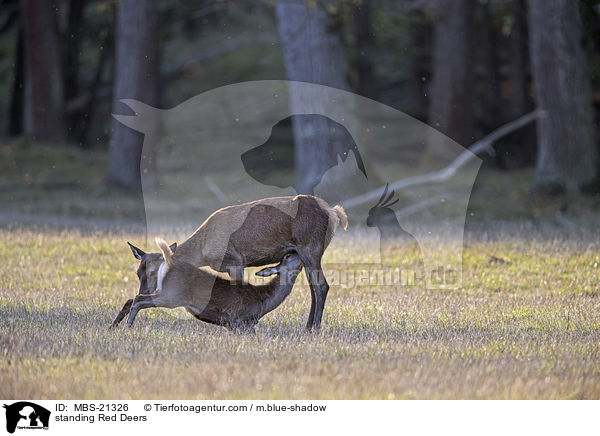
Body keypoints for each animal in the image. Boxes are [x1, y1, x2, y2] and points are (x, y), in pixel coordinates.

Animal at [117, 195, 346, 330]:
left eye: (154, 272)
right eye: (137, 273)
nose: (143, 292)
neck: (204, 251)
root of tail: (334, 213)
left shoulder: (235, 260)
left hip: (311, 248)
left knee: (322, 286)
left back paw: (314, 328)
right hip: (307, 253)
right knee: (313, 288)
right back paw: (308, 325)